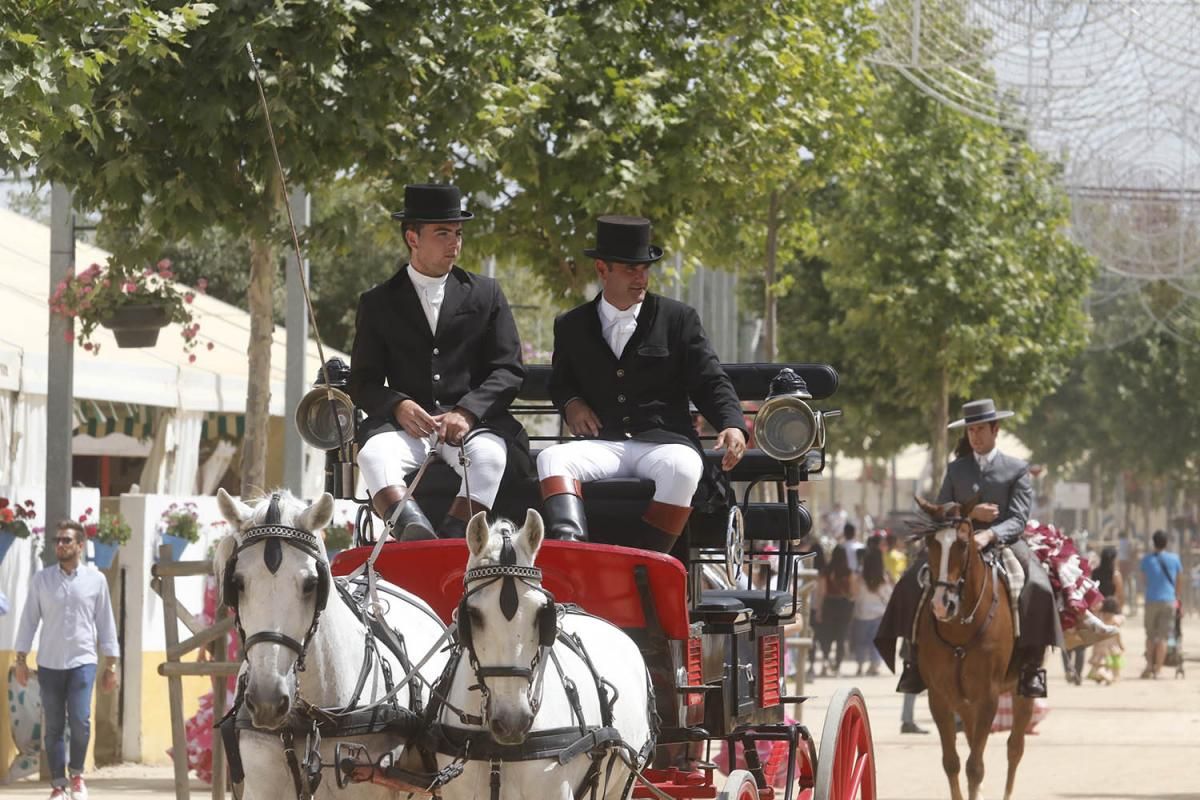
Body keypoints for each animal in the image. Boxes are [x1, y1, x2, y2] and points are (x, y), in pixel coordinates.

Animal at [916, 496, 1032, 796]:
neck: (960, 628)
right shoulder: (939, 697)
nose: (942, 604)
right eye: (930, 543)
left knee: (1015, 748)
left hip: (1023, 687)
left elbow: (975, 767)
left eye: (963, 543)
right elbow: (952, 763)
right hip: (964, 700)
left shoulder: (988, 696)